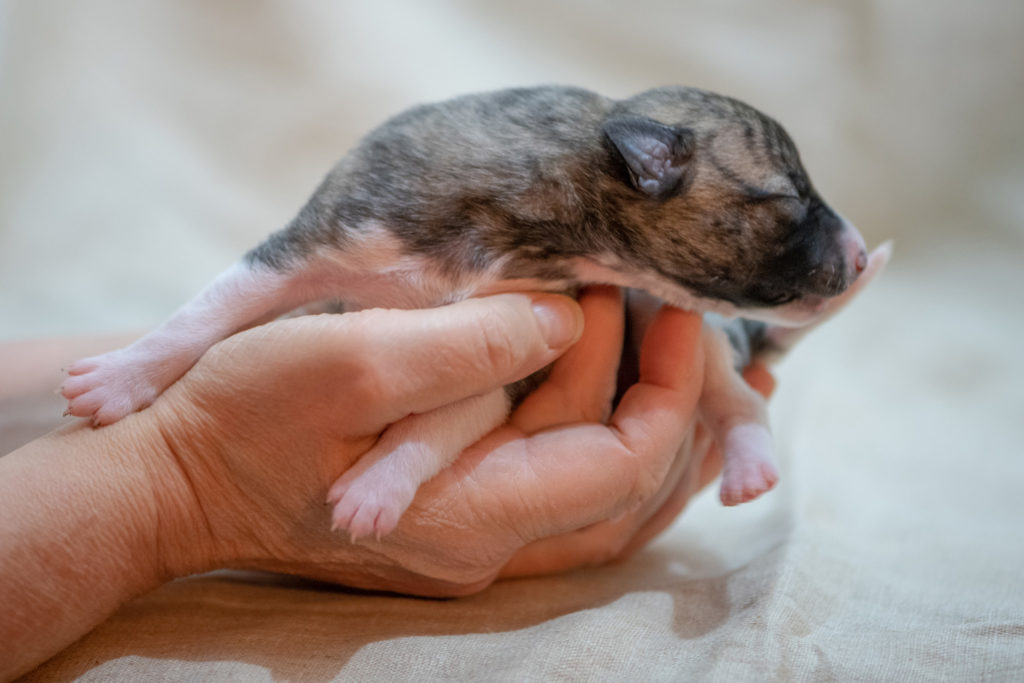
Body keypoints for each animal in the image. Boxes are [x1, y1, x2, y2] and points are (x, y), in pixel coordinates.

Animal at [59, 87, 868, 540]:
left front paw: (377, 487)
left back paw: (750, 467)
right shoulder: (309, 248)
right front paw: (120, 377)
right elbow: (209, 308)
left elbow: (443, 418)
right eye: (791, 199)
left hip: (696, 337)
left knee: (740, 402)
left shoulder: (524, 336)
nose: (861, 255)